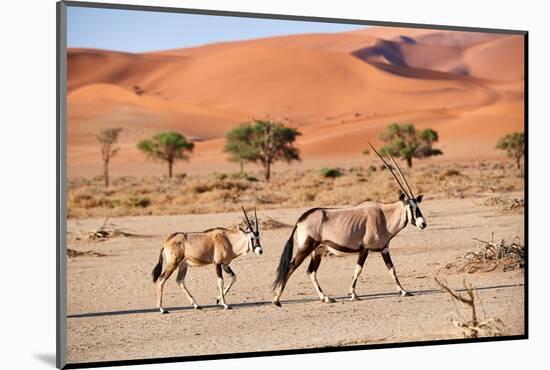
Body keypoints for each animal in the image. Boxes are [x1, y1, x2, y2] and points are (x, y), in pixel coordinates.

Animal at [274, 145, 430, 306]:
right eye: (410, 207)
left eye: (417, 205)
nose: (423, 223)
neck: (384, 217)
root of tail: (301, 220)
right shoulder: (365, 249)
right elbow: (358, 270)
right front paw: (353, 294)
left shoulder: (384, 249)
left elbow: (392, 269)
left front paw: (404, 291)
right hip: (306, 248)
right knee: (291, 267)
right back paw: (276, 299)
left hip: (318, 250)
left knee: (311, 271)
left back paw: (325, 298)